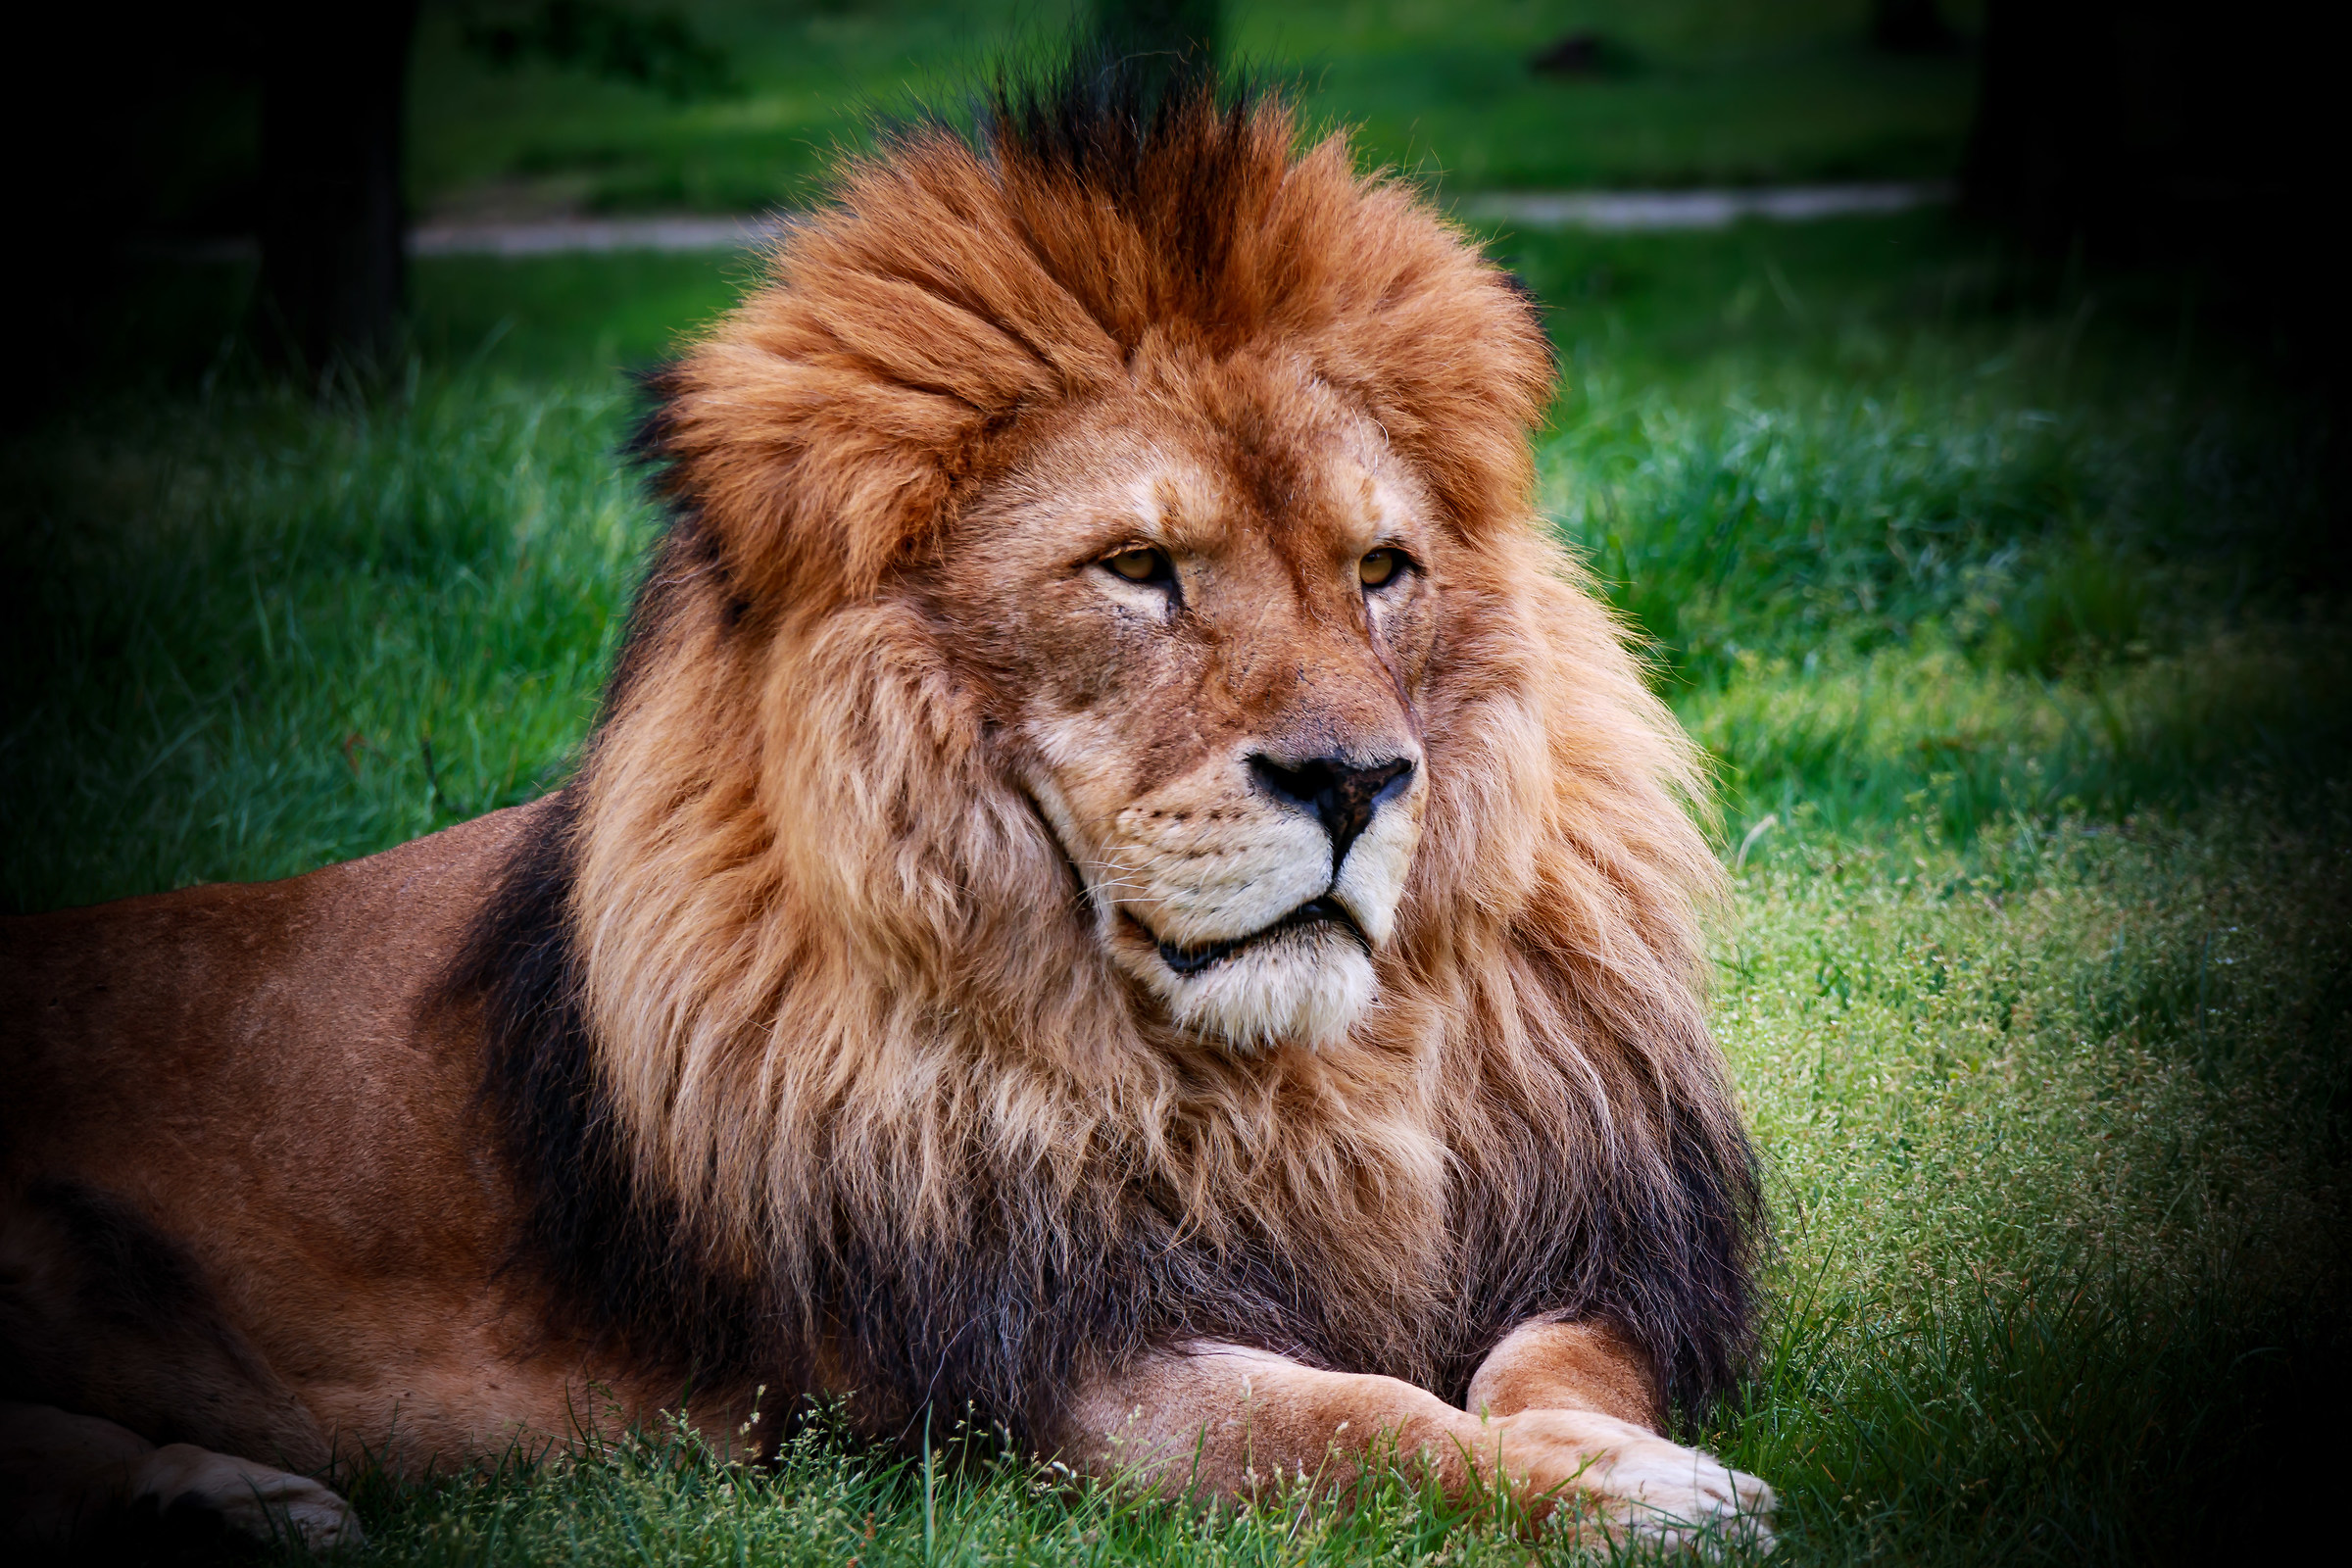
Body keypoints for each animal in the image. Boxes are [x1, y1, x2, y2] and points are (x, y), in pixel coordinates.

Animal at [0, 66, 1770, 1552]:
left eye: (1382, 569)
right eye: (1139, 568)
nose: (1355, 779)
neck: (1287, 1081)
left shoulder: (1592, 1234)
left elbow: (1554, 1366)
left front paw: (1627, 1460)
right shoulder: (1027, 1368)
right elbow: (1349, 1428)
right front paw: (1620, 1501)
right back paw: (217, 1495)